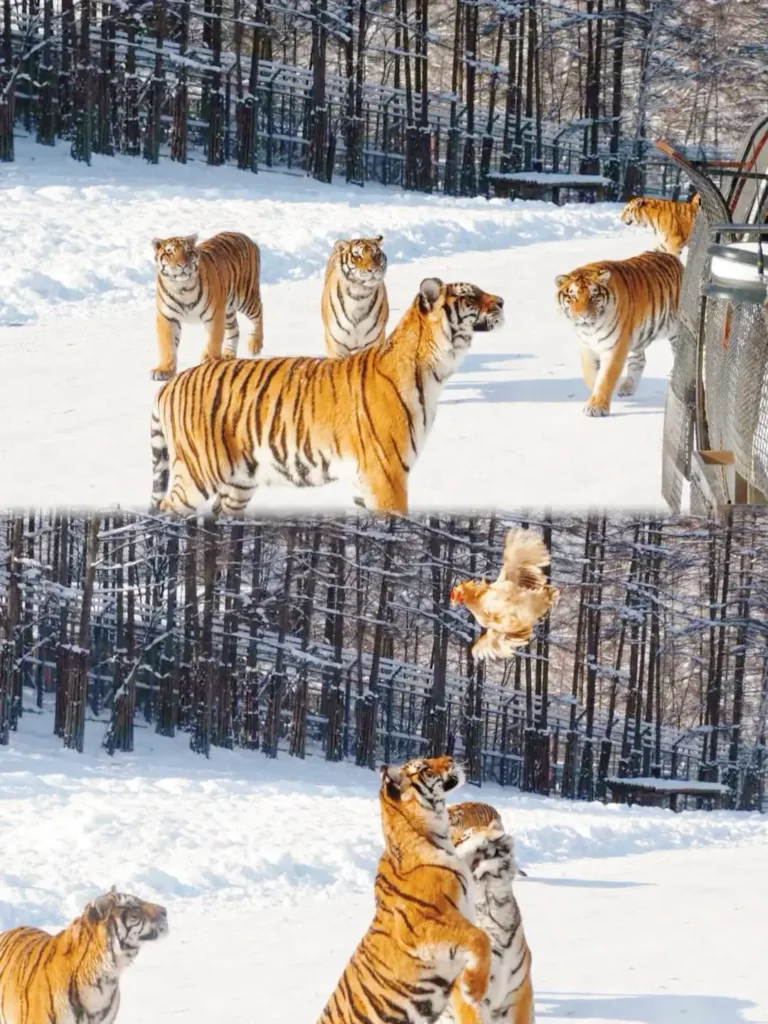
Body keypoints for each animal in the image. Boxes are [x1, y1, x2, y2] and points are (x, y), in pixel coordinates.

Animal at [150, 277, 504, 516]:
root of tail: (172, 382)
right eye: (470, 296)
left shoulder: (366, 479)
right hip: (197, 471)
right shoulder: (388, 473)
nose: (502, 301)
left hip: (239, 482)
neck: (435, 369)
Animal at [151, 230, 264, 381]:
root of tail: (245, 236)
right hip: (228, 308)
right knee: (234, 329)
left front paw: (210, 359)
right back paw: (228, 355)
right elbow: (167, 345)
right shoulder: (167, 317)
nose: (183, 265)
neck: (182, 288)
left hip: (245, 297)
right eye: (169, 252)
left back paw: (255, 344)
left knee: (258, 313)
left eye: (188, 252)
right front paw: (164, 370)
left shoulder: (214, 314)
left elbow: (214, 339)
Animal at [317, 756, 492, 1024]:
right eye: (425, 767)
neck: (436, 835)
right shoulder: (422, 925)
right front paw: (474, 989)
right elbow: (480, 937)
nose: (451, 758)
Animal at [555, 250, 682, 417]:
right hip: (638, 337)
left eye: (593, 296)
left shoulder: (615, 348)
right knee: (639, 360)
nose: (583, 315)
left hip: (674, 330)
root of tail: (669, 255)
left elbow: (606, 378)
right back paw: (627, 387)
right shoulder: (587, 347)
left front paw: (596, 406)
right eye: (573, 296)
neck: (591, 329)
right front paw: (594, 390)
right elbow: (589, 374)